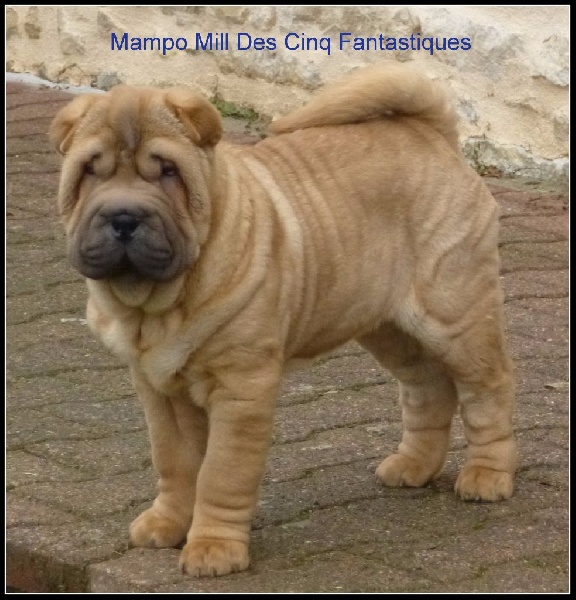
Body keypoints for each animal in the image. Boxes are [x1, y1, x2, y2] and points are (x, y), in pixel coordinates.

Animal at [50, 64, 517, 577]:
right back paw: (412, 467)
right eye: (90, 171)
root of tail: (431, 135)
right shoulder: (159, 390)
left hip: (456, 315)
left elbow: (221, 472)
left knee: (487, 389)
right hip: (388, 329)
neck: (158, 306)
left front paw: (213, 548)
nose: (124, 216)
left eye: (169, 172)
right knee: (428, 389)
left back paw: (487, 476)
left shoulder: (241, 389)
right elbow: (174, 461)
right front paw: (168, 524)